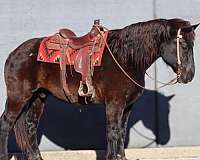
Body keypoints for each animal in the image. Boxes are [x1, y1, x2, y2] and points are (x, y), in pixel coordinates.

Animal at [0, 18, 198, 160]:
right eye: (184, 46)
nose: (189, 76)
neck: (125, 59)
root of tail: (14, 53)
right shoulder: (114, 104)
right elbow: (113, 132)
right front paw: (112, 157)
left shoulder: (127, 106)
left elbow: (121, 132)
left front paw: (121, 157)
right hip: (18, 97)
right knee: (6, 123)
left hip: (38, 97)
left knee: (30, 126)